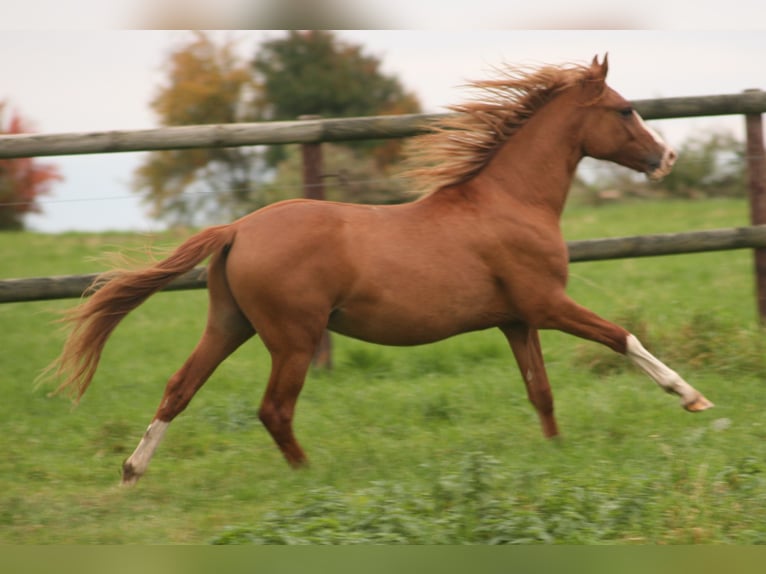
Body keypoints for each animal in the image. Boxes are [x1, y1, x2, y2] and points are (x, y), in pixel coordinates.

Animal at [46, 56, 712, 486]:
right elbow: (623, 337)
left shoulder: (518, 321)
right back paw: (309, 476)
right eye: (625, 110)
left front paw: (556, 454)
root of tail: (237, 229)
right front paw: (693, 399)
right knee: (273, 409)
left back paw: (132, 472)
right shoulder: (547, 305)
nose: (667, 157)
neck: (511, 201)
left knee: (179, 387)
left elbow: (540, 391)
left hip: (230, 324)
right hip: (293, 338)